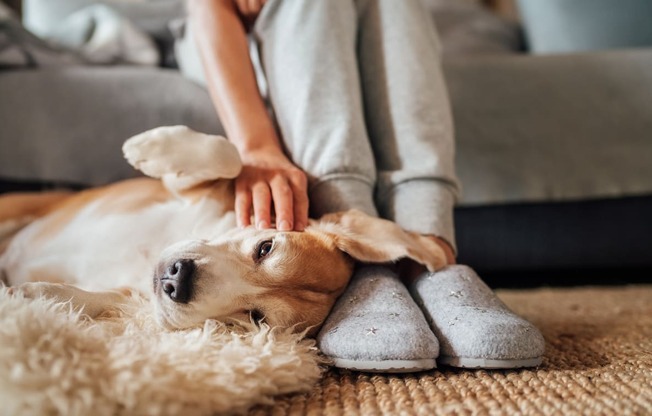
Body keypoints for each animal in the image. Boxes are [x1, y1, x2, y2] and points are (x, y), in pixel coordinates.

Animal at [0, 126, 448, 334]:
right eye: (266, 247)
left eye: (256, 317)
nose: (177, 280)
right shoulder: (189, 190)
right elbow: (228, 156)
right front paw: (150, 148)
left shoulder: (131, 295)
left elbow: (99, 299)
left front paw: (35, 296)